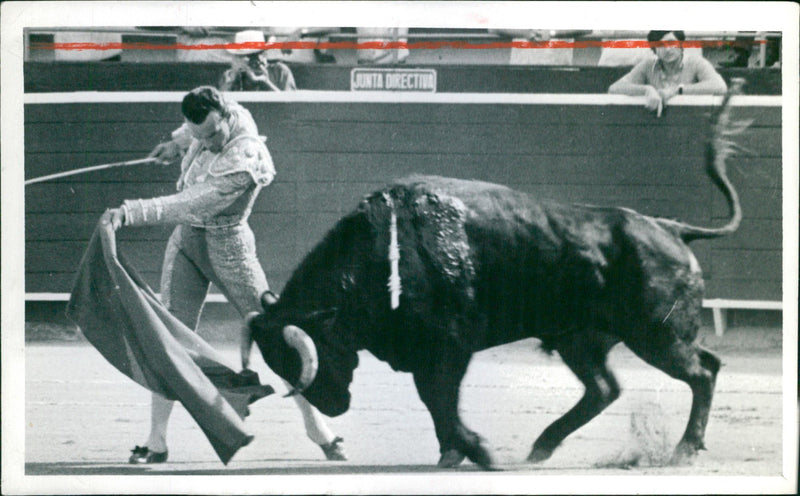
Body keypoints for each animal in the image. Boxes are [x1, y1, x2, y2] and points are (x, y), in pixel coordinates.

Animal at [247, 85, 748, 468]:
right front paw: (455, 452)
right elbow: (436, 402)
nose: (335, 405)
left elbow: (440, 399)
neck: (384, 255)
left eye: (306, 353)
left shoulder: (448, 346)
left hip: (657, 336)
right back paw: (542, 446)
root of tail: (669, 228)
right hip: (580, 338)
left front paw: (477, 451)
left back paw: (683, 450)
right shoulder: (426, 352)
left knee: (703, 371)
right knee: (605, 389)